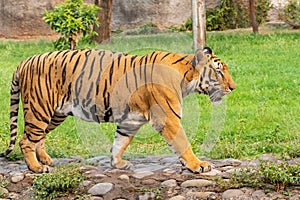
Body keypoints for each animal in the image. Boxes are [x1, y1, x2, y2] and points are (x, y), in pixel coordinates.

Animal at [0, 47, 236, 173]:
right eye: (219, 72)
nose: (233, 88)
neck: (187, 76)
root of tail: (25, 61)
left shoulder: (130, 121)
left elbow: (120, 142)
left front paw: (118, 163)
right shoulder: (168, 118)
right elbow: (183, 143)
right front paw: (198, 165)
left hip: (54, 114)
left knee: (37, 137)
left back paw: (45, 160)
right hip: (39, 109)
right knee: (25, 140)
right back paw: (37, 168)